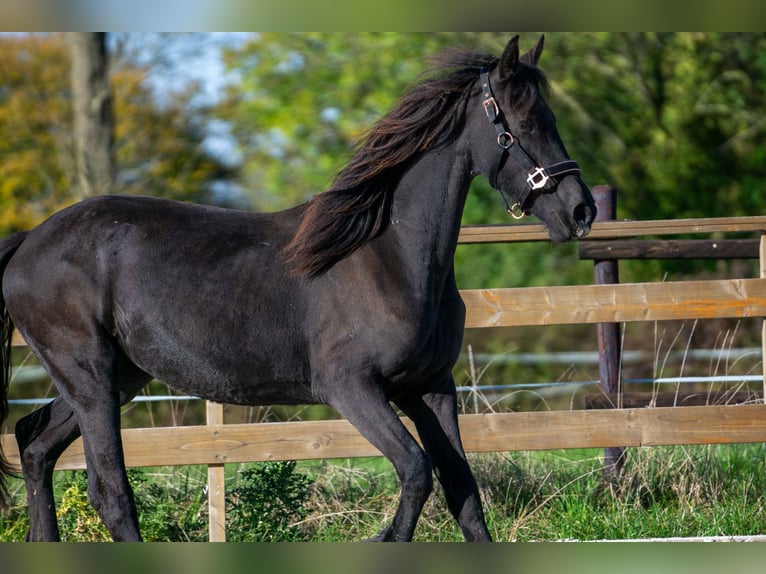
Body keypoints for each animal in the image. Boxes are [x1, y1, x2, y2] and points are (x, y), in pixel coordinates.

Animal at [0, 35, 596, 540]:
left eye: (550, 117)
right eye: (523, 123)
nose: (581, 211)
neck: (391, 257)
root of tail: (29, 241)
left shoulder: (428, 388)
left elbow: (462, 492)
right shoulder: (351, 387)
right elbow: (416, 473)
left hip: (116, 377)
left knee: (34, 444)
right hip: (92, 376)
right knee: (110, 493)